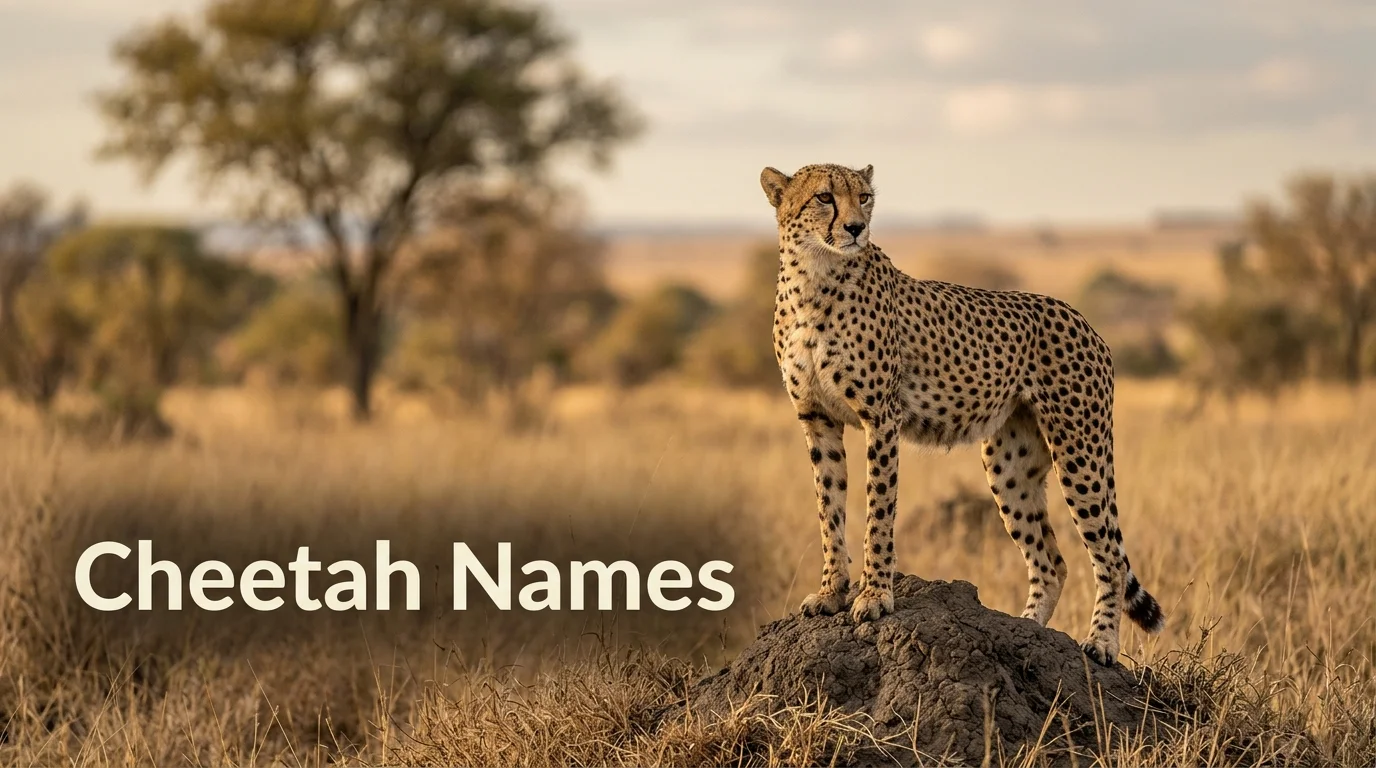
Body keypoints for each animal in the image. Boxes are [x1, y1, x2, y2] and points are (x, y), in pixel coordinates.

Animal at [760, 162, 1163, 664]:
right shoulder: (818, 421)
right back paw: (1026, 631)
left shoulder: (881, 419)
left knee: (1109, 556)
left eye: (865, 197)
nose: (855, 228)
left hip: (1080, 449)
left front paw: (874, 596)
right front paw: (832, 591)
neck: (814, 278)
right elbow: (828, 509)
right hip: (1010, 467)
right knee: (1051, 562)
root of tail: (1081, 317)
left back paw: (1101, 642)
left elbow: (878, 511)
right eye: (823, 198)